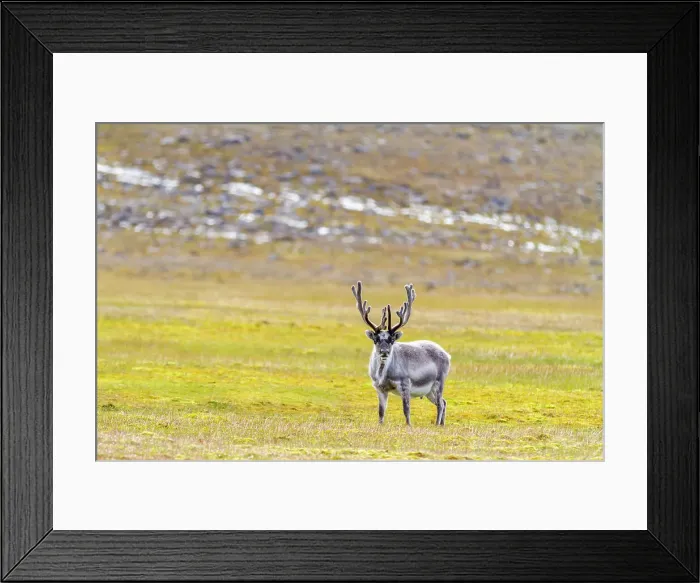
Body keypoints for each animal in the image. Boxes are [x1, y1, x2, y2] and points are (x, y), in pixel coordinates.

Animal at [351, 281, 451, 426]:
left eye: (391, 340)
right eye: (376, 339)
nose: (384, 352)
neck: (383, 375)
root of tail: (446, 354)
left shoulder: (405, 384)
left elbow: (406, 410)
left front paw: (409, 426)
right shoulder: (379, 388)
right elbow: (381, 412)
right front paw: (380, 425)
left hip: (439, 383)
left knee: (440, 404)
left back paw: (437, 424)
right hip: (429, 391)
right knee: (443, 401)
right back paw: (442, 424)